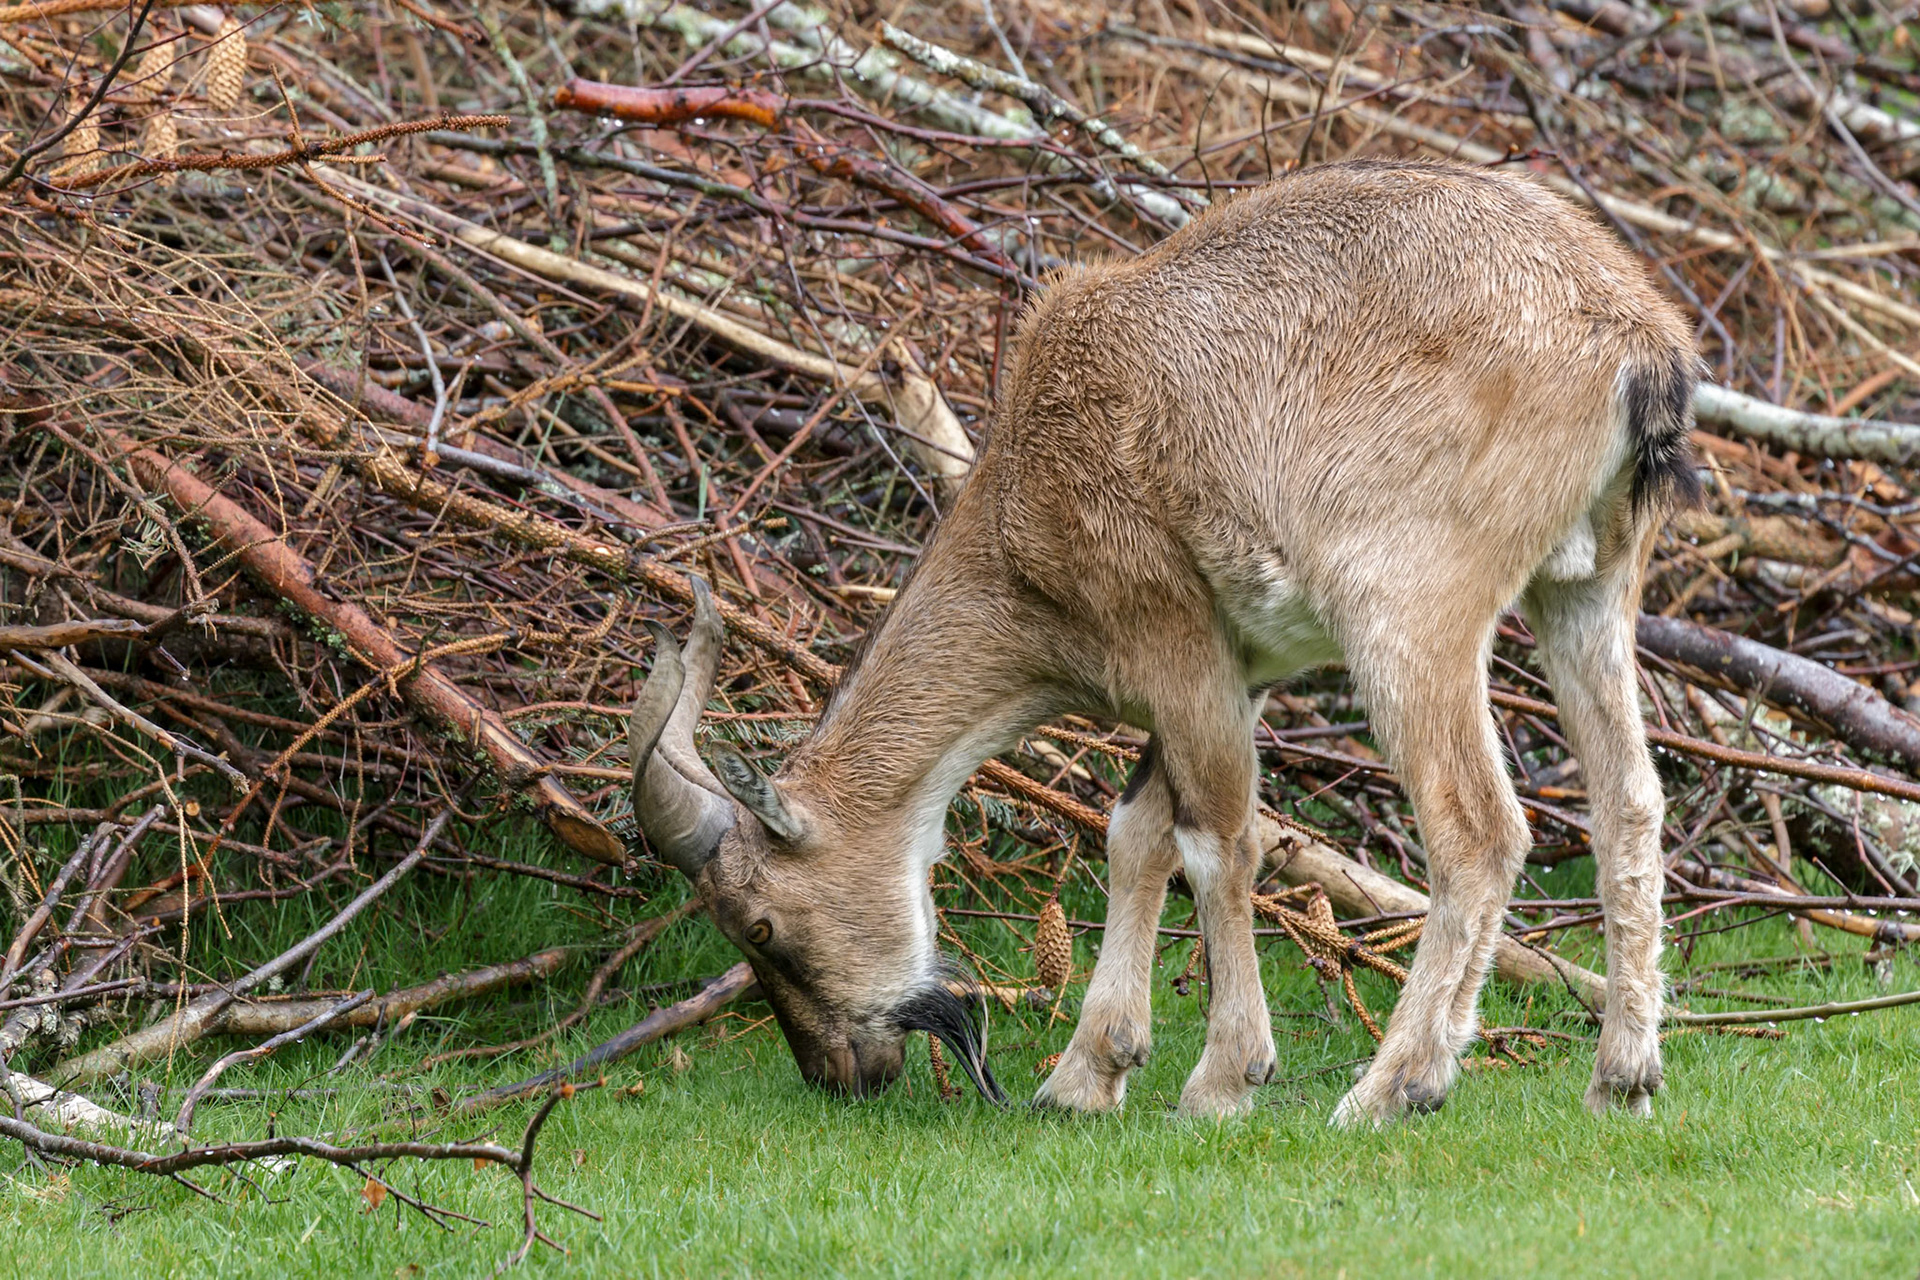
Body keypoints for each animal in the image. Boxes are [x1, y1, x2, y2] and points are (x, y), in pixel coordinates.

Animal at [627, 159, 1698, 1123]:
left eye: (763, 925)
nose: (842, 1074)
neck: (1022, 517)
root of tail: (1639, 348)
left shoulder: (1168, 632)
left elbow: (1217, 836)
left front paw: (1223, 1081)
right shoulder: (1235, 665)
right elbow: (1135, 829)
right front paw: (1085, 1074)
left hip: (1408, 606)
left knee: (1478, 828)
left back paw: (1394, 1086)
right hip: (1587, 589)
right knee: (1628, 801)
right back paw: (1623, 1077)